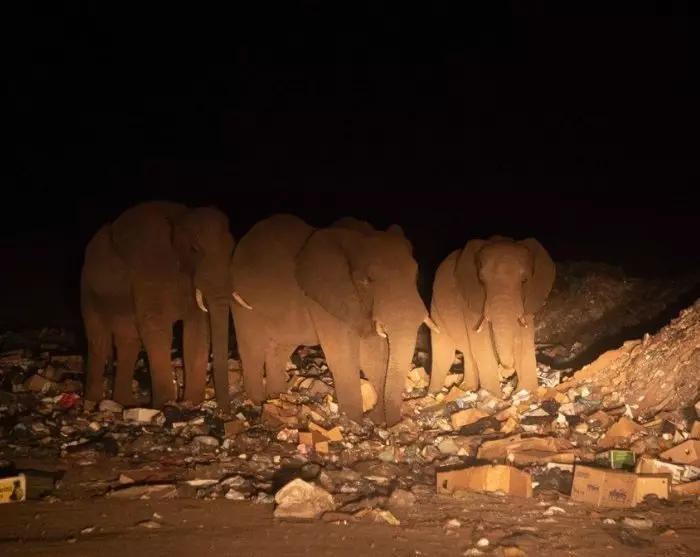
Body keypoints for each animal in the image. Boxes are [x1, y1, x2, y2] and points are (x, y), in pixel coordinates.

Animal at [80, 201, 236, 410]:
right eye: (194, 249)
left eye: (232, 249)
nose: (224, 410)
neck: (181, 219)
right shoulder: (151, 270)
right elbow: (157, 328)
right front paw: (166, 404)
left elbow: (197, 331)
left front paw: (190, 402)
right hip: (90, 291)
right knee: (100, 340)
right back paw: (93, 404)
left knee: (128, 342)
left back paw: (125, 404)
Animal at [230, 214, 439, 426]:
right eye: (368, 279)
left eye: (415, 272)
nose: (394, 424)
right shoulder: (326, 301)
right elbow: (343, 355)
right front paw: (354, 421)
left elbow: (373, 355)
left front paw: (375, 419)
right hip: (241, 298)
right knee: (252, 346)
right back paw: (259, 401)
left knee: (280, 348)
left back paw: (277, 397)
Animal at [428, 236, 555, 397]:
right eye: (482, 280)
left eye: (524, 280)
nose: (507, 369)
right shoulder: (471, 301)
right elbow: (481, 341)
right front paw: (494, 396)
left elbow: (524, 337)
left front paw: (526, 391)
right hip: (435, 308)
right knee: (444, 353)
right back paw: (434, 393)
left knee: (468, 354)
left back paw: (468, 388)